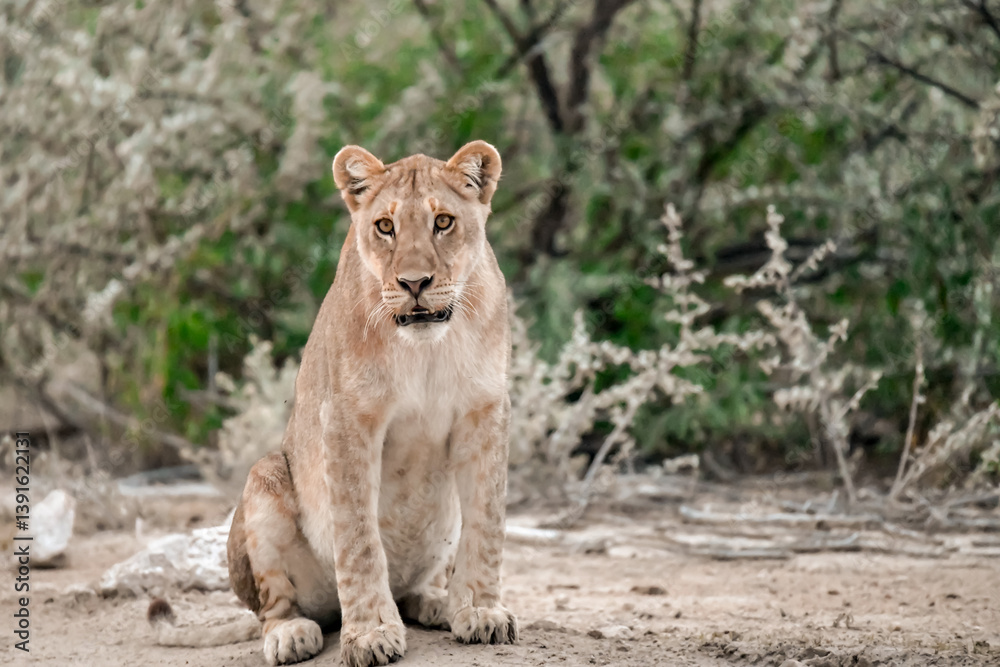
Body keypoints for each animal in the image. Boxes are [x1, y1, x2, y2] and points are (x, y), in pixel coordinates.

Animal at [199, 141, 516, 666]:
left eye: (443, 222)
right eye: (385, 226)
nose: (414, 283)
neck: (425, 348)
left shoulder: (485, 410)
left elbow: (487, 522)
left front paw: (480, 611)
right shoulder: (348, 419)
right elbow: (359, 538)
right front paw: (370, 635)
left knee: (413, 589)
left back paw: (437, 602)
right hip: (265, 476)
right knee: (273, 606)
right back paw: (291, 635)